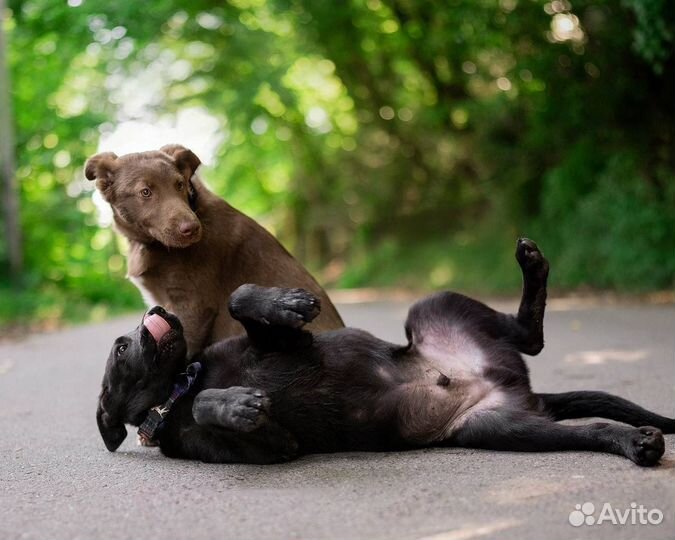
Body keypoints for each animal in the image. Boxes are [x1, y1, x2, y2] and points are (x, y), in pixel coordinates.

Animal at [97, 239, 672, 464]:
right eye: (122, 347)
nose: (153, 314)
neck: (179, 386)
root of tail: (509, 381)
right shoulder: (274, 445)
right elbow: (211, 407)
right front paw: (236, 403)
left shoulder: (287, 342)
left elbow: (241, 295)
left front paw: (286, 302)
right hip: (503, 429)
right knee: (583, 421)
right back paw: (636, 443)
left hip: (432, 304)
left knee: (530, 335)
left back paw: (531, 265)